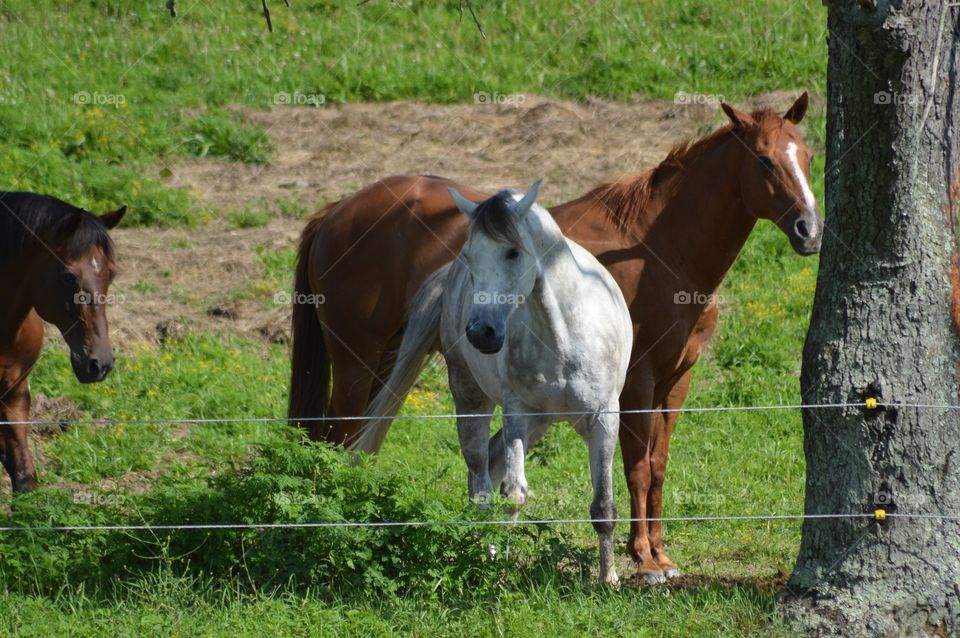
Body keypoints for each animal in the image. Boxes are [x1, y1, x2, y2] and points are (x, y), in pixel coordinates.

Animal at [348, 179, 632, 584]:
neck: (564, 335)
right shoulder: (516, 414)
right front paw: (500, 568)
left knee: (491, 468)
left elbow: (603, 505)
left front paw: (608, 580)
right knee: (480, 484)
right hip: (472, 402)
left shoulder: (604, 419)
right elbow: (513, 493)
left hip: (542, 421)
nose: (480, 333)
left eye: (513, 252)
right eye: (470, 255)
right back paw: (485, 556)